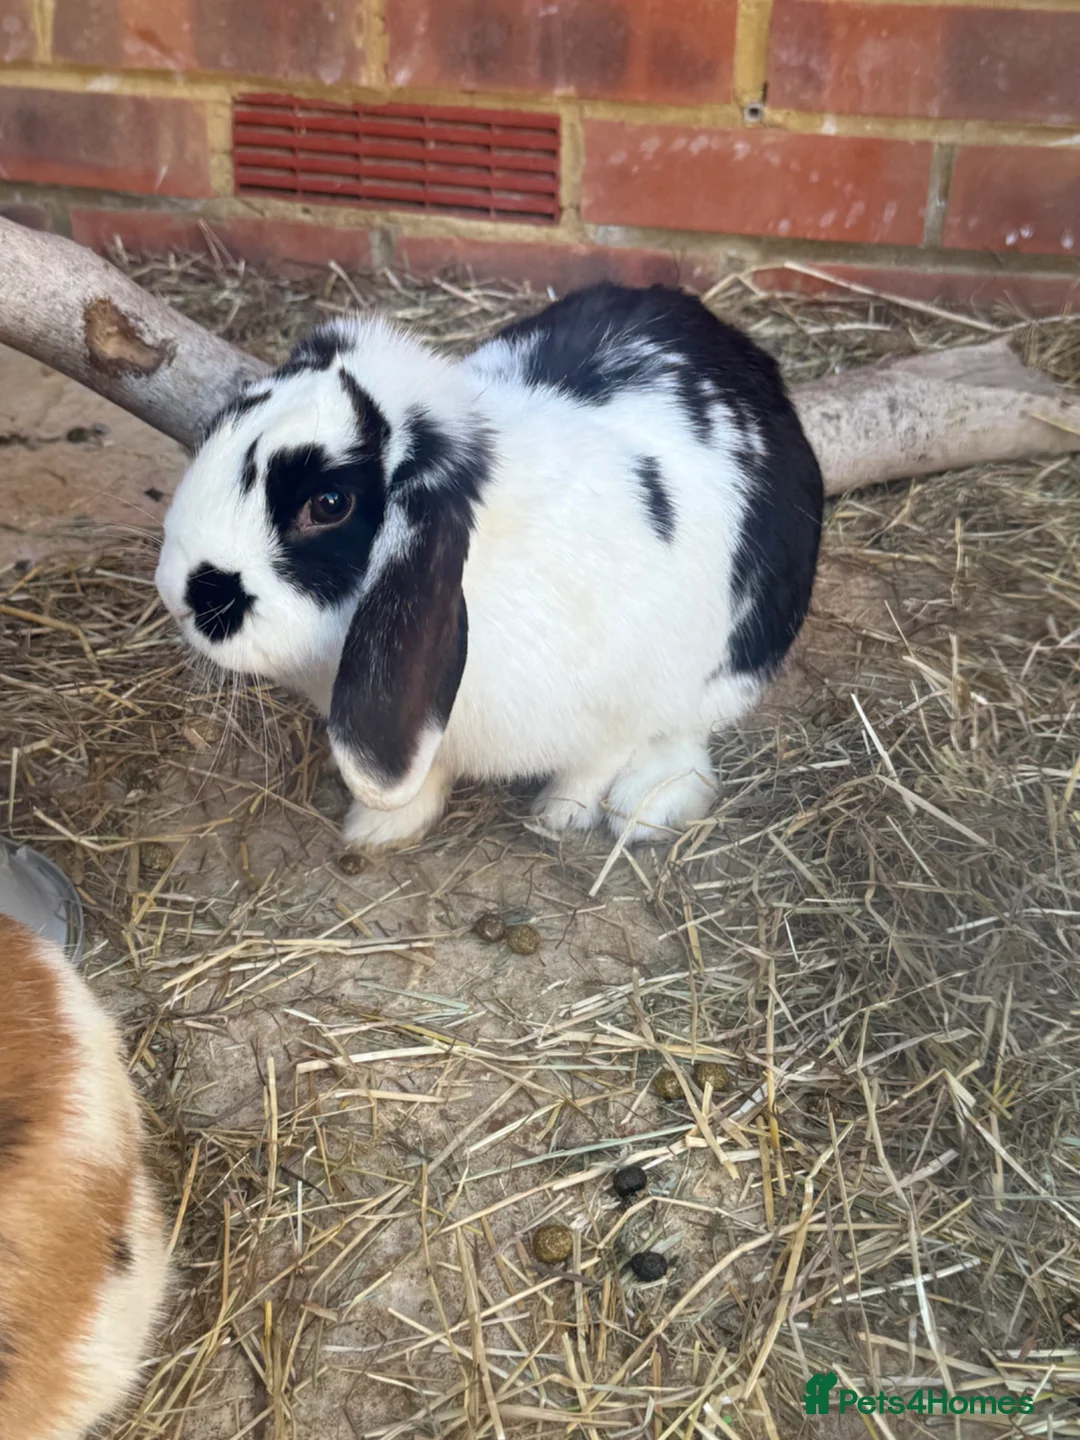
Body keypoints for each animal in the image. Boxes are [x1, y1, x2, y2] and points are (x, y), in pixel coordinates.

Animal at [155, 283, 823, 851]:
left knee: (686, 733)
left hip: (738, 661)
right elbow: (426, 769)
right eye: (221, 424)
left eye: (329, 504)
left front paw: (560, 815)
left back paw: (645, 805)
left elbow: (597, 760)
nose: (177, 593)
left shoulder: (628, 701)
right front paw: (378, 826)